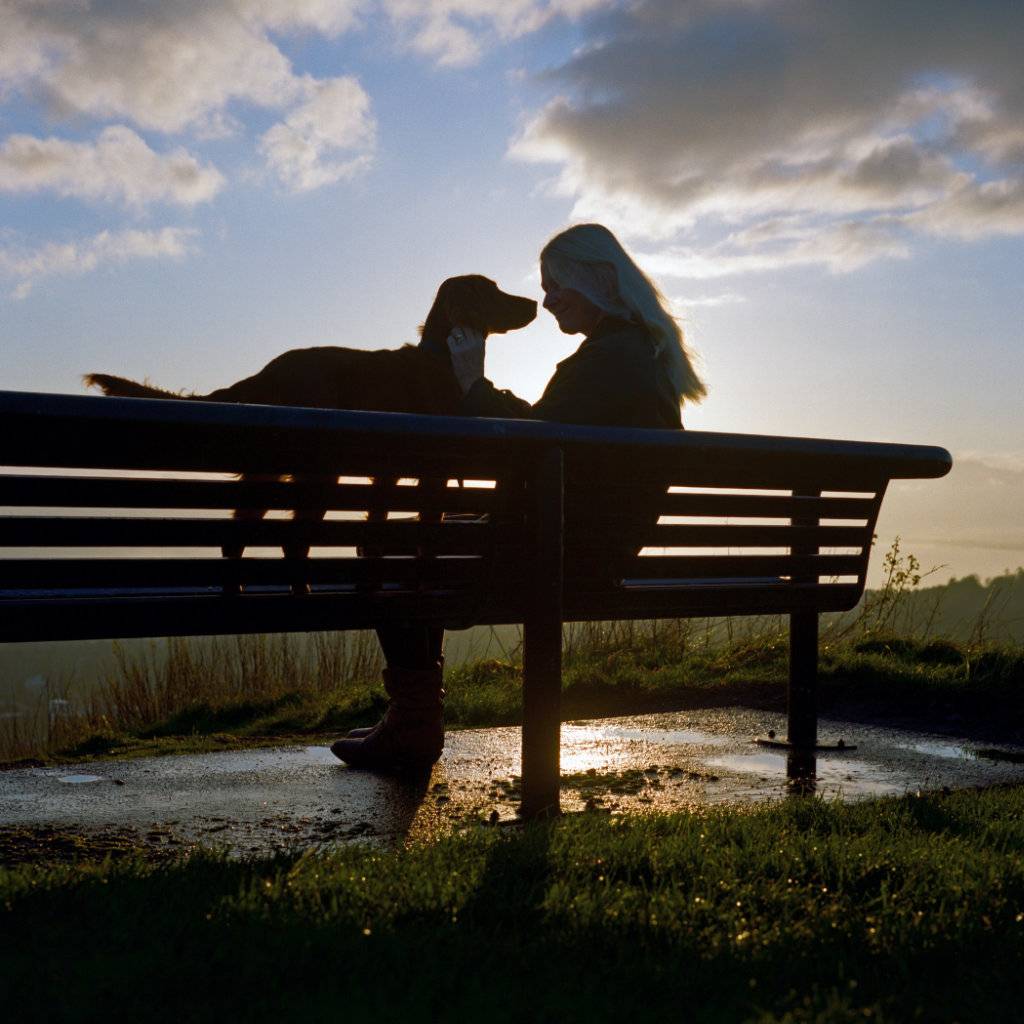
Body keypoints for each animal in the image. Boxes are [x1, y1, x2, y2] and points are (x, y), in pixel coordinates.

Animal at [83, 276, 540, 593]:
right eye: (492, 290)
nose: (533, 302)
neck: (442, 360)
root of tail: (268, 373)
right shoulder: (433, 474)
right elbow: (425, 535)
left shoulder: (387, 476)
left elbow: (376, 535)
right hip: (317, 475)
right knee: (292, 541)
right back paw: (299, 592)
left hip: (271, 473)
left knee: (241, 533)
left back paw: (238, 590)